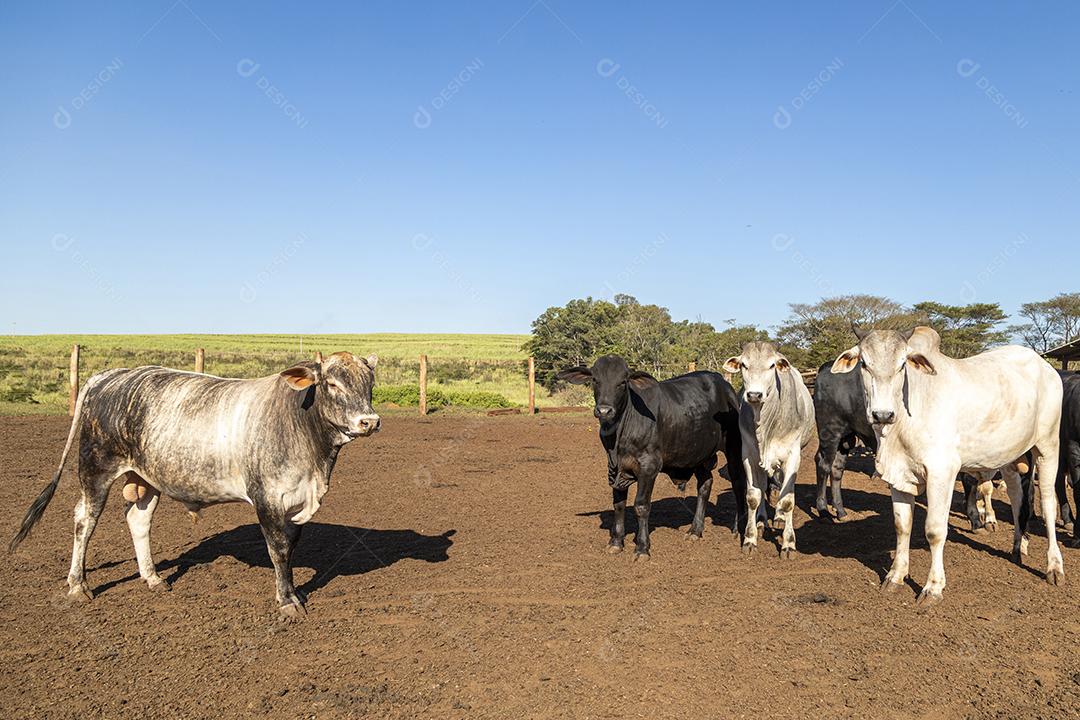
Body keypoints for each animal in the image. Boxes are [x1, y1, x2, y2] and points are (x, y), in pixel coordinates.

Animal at [7, 351, 380, 617]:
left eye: (369, 385)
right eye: (332, 383)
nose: (370, 421)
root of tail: (110, 375)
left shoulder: (298, 503)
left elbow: (290, 548)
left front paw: (293, 592)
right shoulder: (268, 499)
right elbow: (278, 550)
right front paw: (287, 601)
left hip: (145, 477)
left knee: (138, 519)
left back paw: (153, 578)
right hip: (95, 468)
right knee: (84, 520)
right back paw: (78, 586)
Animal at [561, 358, 747, 561]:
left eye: (623, 382)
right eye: (595, 379)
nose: (604, 410)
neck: (619, 436)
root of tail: (724, 385)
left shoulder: (648, 467)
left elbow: (641, 505)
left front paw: (642, 548)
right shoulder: (614, 469)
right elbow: (618, 504)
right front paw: (616, 542)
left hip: (734, 449)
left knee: (738, 484)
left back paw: (738, 528)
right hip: (698, 454)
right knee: (705, 485)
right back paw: (695, 531)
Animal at [833, 330, 1062, 604]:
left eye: (902, 365)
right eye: (865, 364)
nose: (882, 415)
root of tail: (1045, 366)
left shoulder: (942, 473)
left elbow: (934, 530)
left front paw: (933, 587)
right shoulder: (898, 476)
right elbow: (902, 526)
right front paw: (895, 576)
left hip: (1048, 446)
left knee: (1047, 503)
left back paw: (1054, 567)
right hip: (1009, 457)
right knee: (1018, 499)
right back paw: (1017, 547)